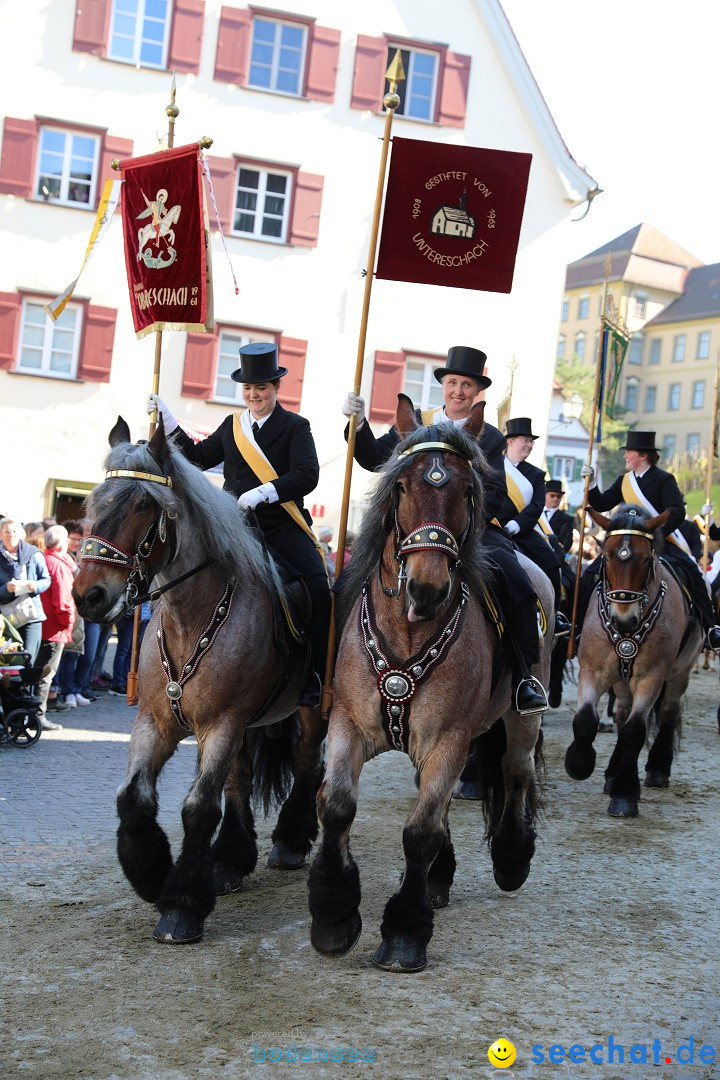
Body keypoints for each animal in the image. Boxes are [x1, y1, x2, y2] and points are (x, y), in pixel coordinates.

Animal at [71, 416, 325, 941]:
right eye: (92, 502)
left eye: (144, 505)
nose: (88, 596)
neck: (192, 618)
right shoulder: (156, 721)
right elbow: (134, 796)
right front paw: (151, 874)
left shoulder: (221, 724)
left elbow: (198, 806)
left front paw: (182, 903)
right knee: (241, 780)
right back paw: (230, 859)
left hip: (309, 709)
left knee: (308, 763)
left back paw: (290, 841)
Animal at [306, 401, 557, 976]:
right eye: (401, 486)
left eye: (467, 489)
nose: (426, 586)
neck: (409, 628)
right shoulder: (349, 724)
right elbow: (338, 805)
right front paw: (333, 916)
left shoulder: (448, 739)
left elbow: (419, 831)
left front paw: (404, 933)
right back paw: (441, 877)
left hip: (520, 717)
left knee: (515, 773)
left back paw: (511, 857)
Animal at [565, 505, 699, 816]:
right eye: (606, 556)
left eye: (646, 559)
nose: (623, 621)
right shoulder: (592, 670)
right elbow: (585, 720)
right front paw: (579, 763)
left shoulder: (651, 677)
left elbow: (635, 732)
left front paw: (625, 794)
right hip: (622, 680)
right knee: (622, 713)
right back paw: (611, 772)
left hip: (680, 672)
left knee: (668, 712)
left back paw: (657, 770)